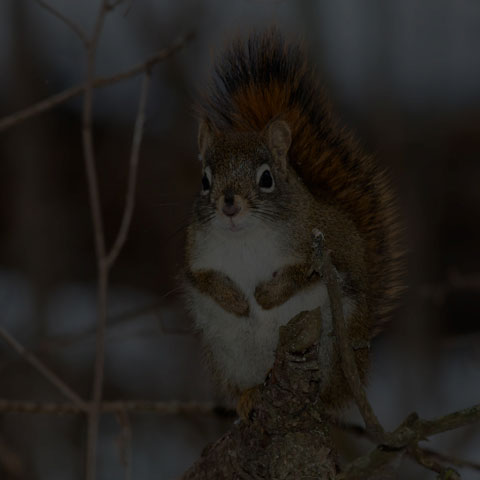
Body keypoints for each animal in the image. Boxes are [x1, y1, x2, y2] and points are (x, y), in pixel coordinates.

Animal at [182, 29, 404, 412]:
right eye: (205, 181)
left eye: (266, 178)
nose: (229, 205)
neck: (243, 238)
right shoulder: (196, 252)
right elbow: (204, 280)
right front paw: (236, 300)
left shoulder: (322, 249)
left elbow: (300, 275)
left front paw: (264, 295)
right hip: (228, 354)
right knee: (248, 381)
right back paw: (248, 397)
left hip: (335, 345)